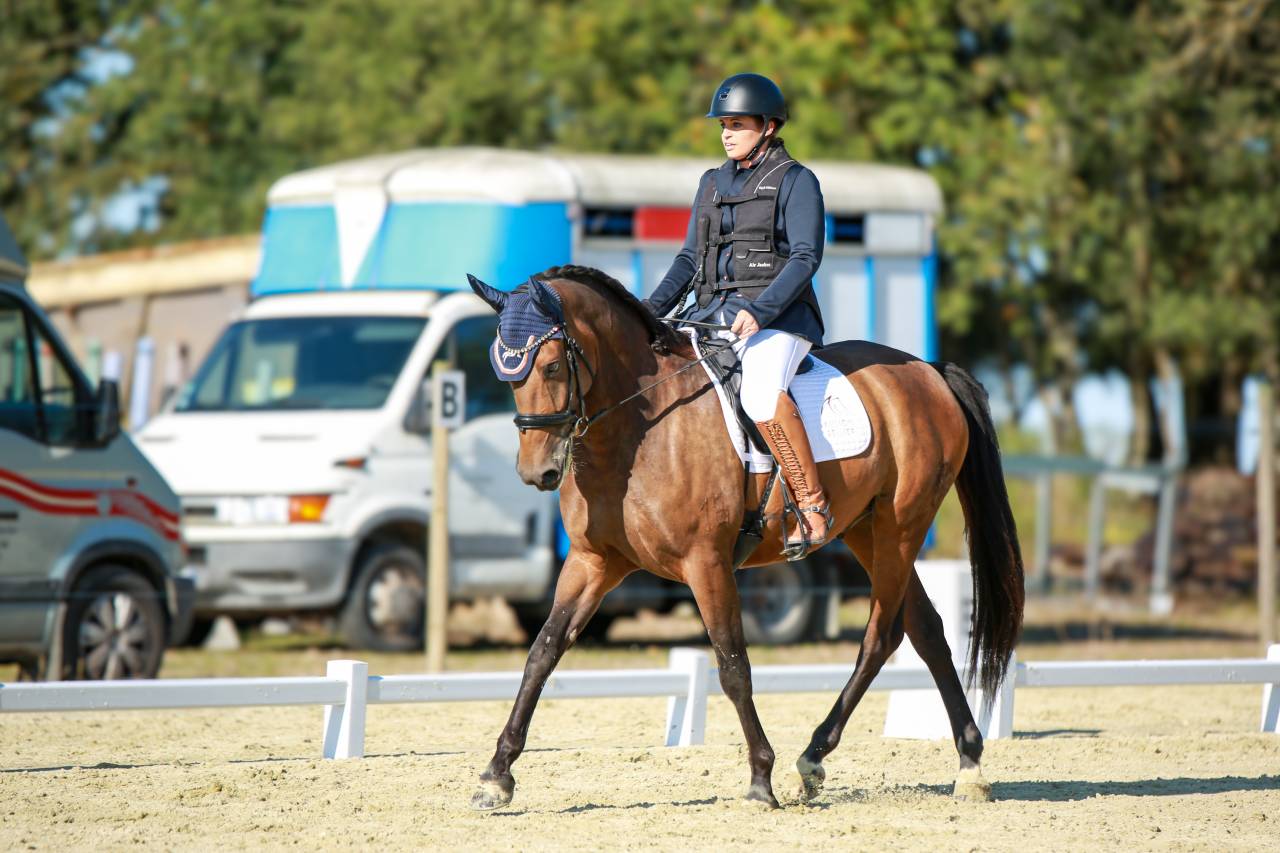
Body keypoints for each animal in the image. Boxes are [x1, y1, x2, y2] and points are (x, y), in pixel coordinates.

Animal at [465, 265, 1024, 810]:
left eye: (551, 367)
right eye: (504, 371)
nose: (536, 473)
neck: (637, 431)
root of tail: (928, 371)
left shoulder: (707, 562)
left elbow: (733, 664)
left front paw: (760, 778)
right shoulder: (592, 562)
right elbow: (542, 652)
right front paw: (496, 776)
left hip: (901, 527)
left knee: (881, 636)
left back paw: (815, 760)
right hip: (867, 531)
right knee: (925, 629)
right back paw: (965, 763)